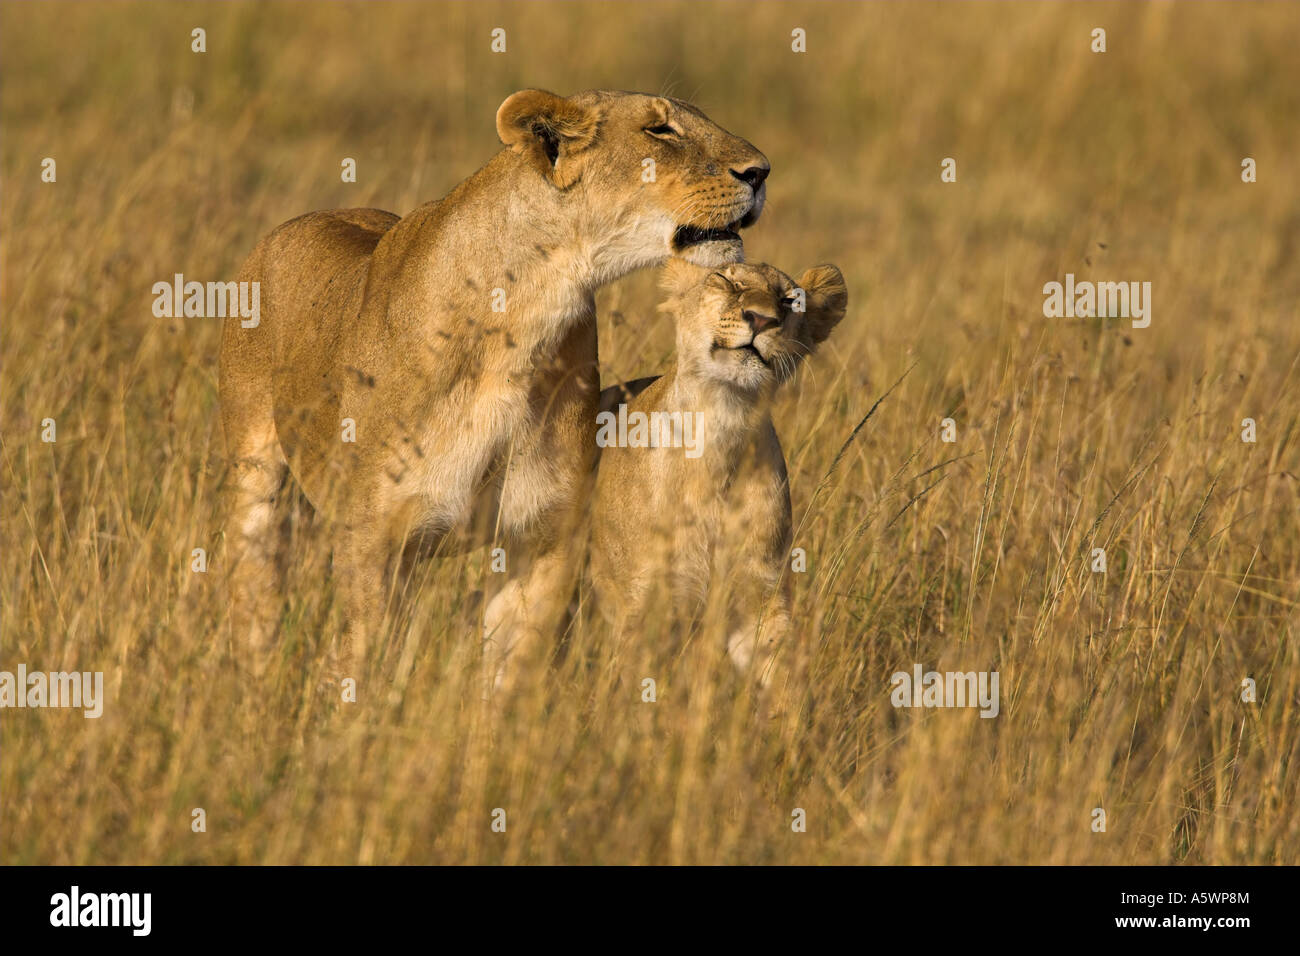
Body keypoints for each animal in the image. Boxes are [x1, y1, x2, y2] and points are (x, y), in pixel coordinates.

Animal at [218, 89, 770, 690]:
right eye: (659, 130)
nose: (761, 171)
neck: (526, 322)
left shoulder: (545, 539)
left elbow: (511, 672)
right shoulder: (372, 541)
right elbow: (365, 666)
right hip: (257, 482)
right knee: (253, 591)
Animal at [590, 258, 847, 692]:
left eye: (789, 300)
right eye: (727, 281)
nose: (761, 319)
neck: (721, 427)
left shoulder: (762, 597)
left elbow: (783, 681)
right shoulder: (643, 607)